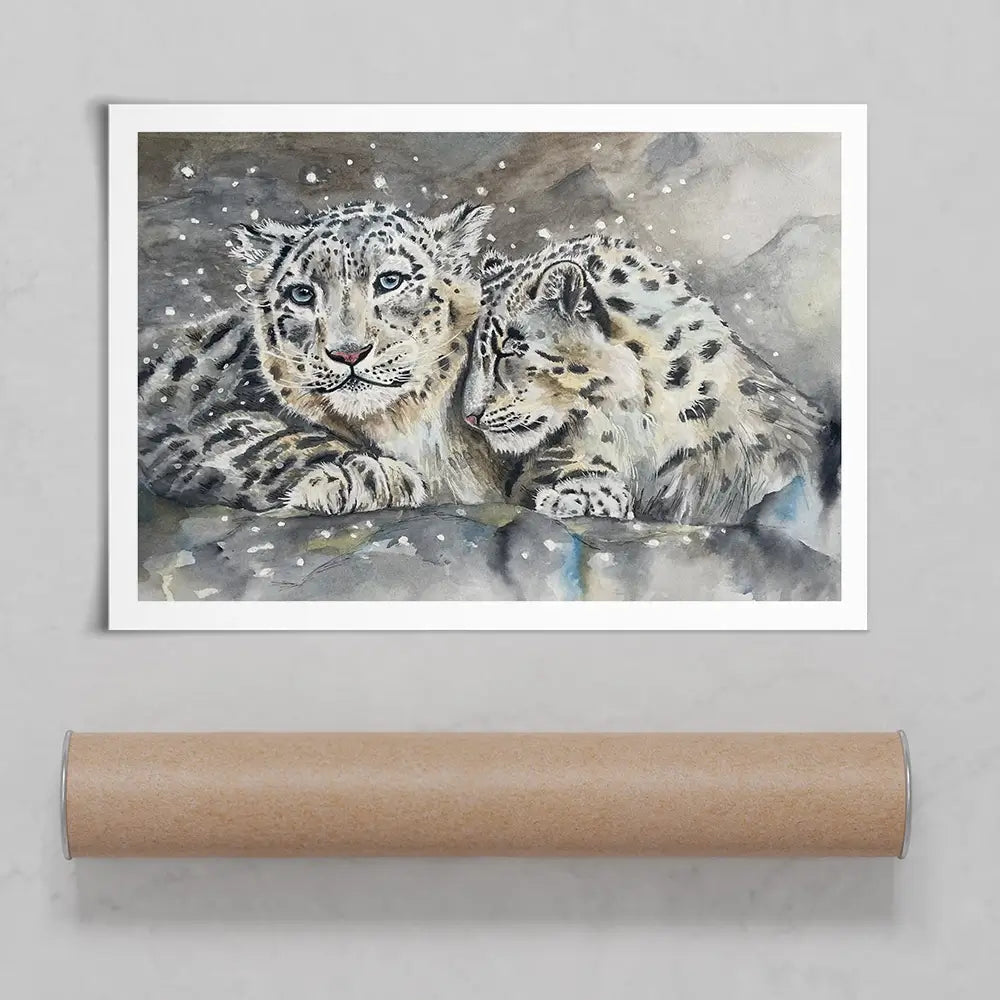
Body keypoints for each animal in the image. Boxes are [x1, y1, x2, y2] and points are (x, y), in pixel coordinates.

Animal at [139, 200, 505, 514]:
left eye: (390, 281)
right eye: (302, 294)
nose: (348, 352)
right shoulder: (186, 425)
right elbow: (270, 441)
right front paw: (370, 475)